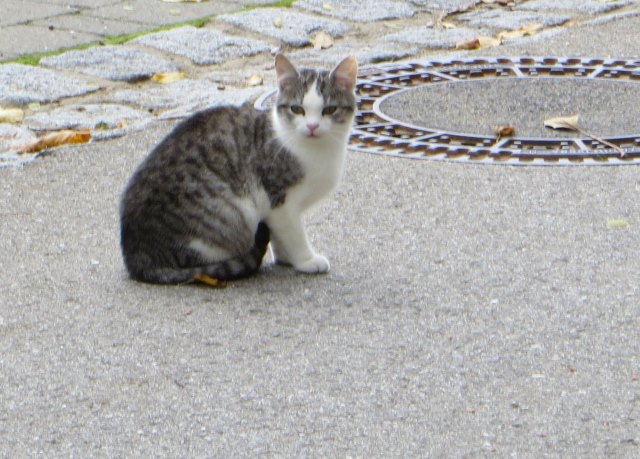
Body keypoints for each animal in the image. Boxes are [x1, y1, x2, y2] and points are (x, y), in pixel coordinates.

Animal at [119, 53, 358, 284]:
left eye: (330, 109)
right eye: (297, 109)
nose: (312, 126)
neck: (315, 150)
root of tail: (136, 258)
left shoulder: (275, 212)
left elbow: (280, 236)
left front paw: (285, 258)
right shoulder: (280, 202)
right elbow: (294, 234)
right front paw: (305, 260)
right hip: (231, 213)